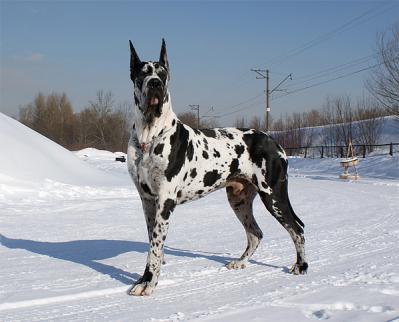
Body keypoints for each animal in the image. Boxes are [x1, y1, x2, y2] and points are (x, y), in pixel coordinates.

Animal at [126, 39, 308, 296]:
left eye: (162, 74)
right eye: (143, 74)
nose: (155, 84)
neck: (149, 136)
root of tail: (274, 141)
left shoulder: (165, 201)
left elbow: (155, 249)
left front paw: (149, 283)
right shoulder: (148, 201)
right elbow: (152, 244)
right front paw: (143, 280)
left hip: (274, 195)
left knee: (297, 228)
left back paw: (301, 266)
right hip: (239, 200)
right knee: (256, 233)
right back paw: (240, 262)